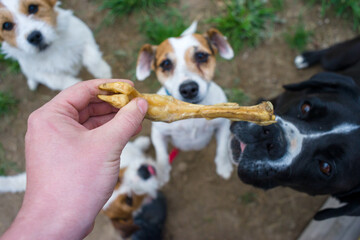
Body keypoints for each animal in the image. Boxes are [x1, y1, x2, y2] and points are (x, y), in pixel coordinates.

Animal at [136, 22, 235, 184]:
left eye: (201, 56)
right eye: (166, 63)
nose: (188, 89)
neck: (190, 110)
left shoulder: (223, 125)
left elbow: (221, 150)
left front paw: (224, 166)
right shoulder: (158, 133)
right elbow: (161, 155)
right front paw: (162, 173)